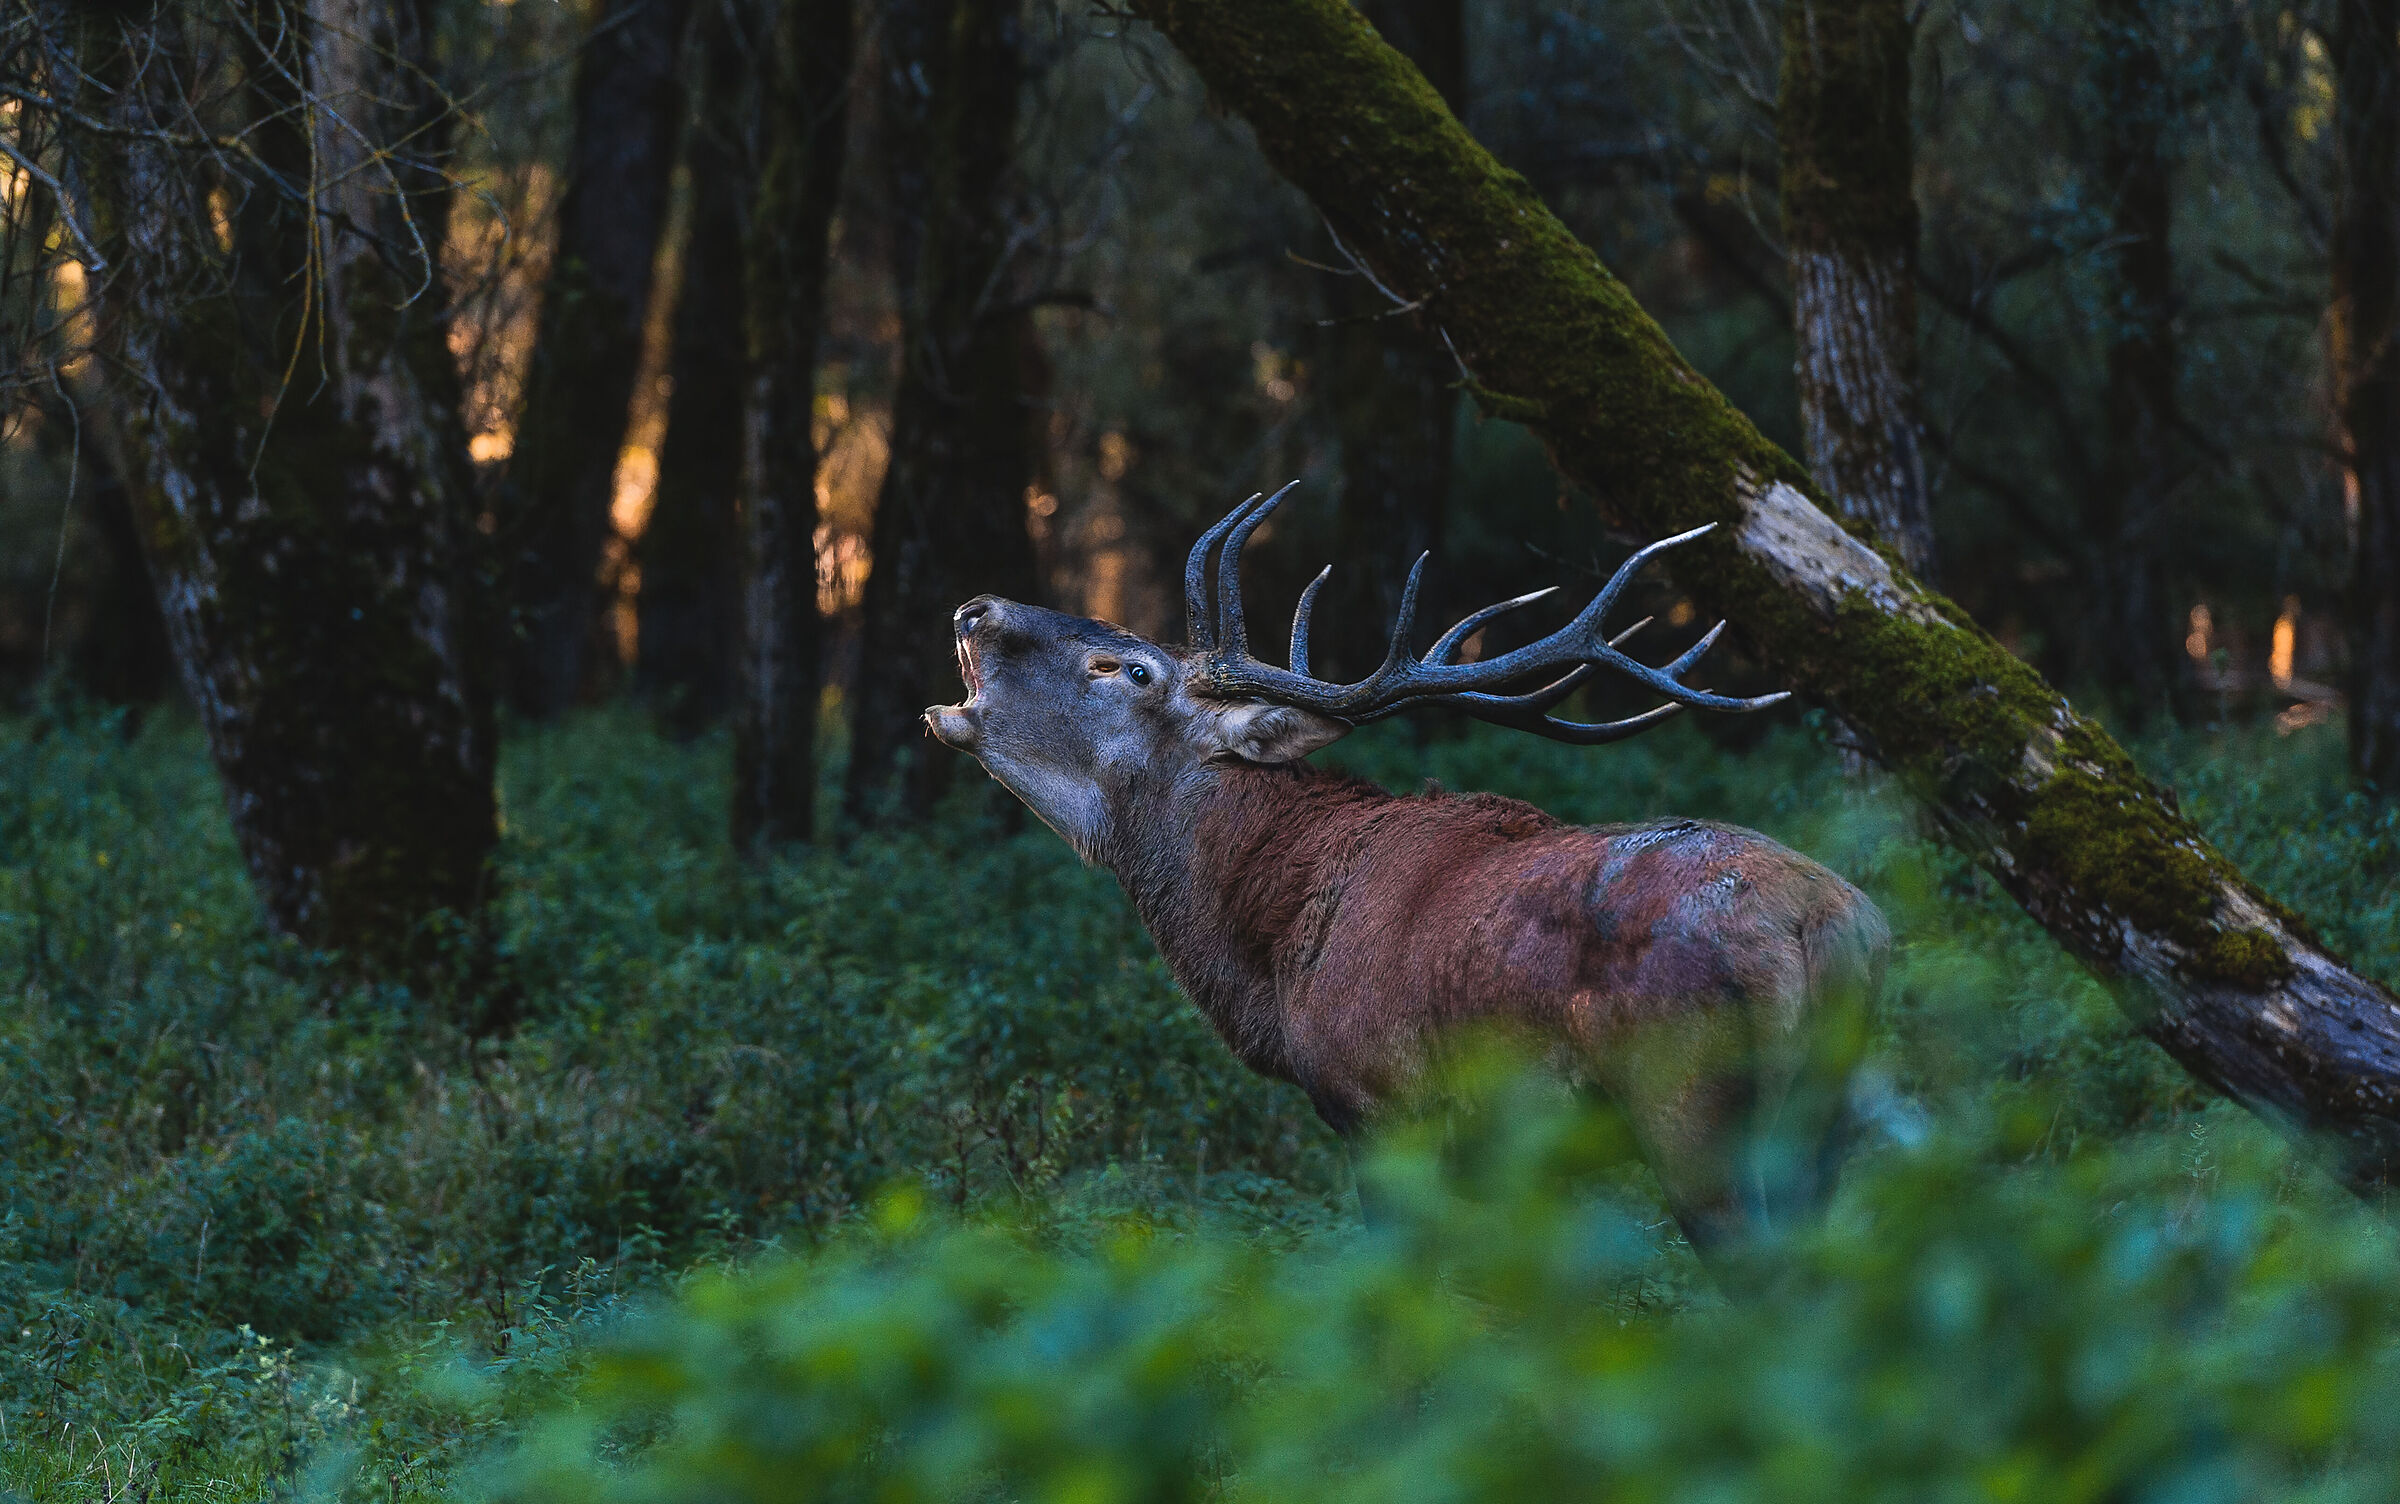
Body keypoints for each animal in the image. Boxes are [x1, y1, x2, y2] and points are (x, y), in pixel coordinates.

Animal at [923, 483, 1889, 1250]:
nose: (975, 606)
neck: (1271, 963)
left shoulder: (1380, 1104)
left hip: (1689, 1101)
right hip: (1828, 1115)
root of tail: (1821, 926)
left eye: (1124, 668)